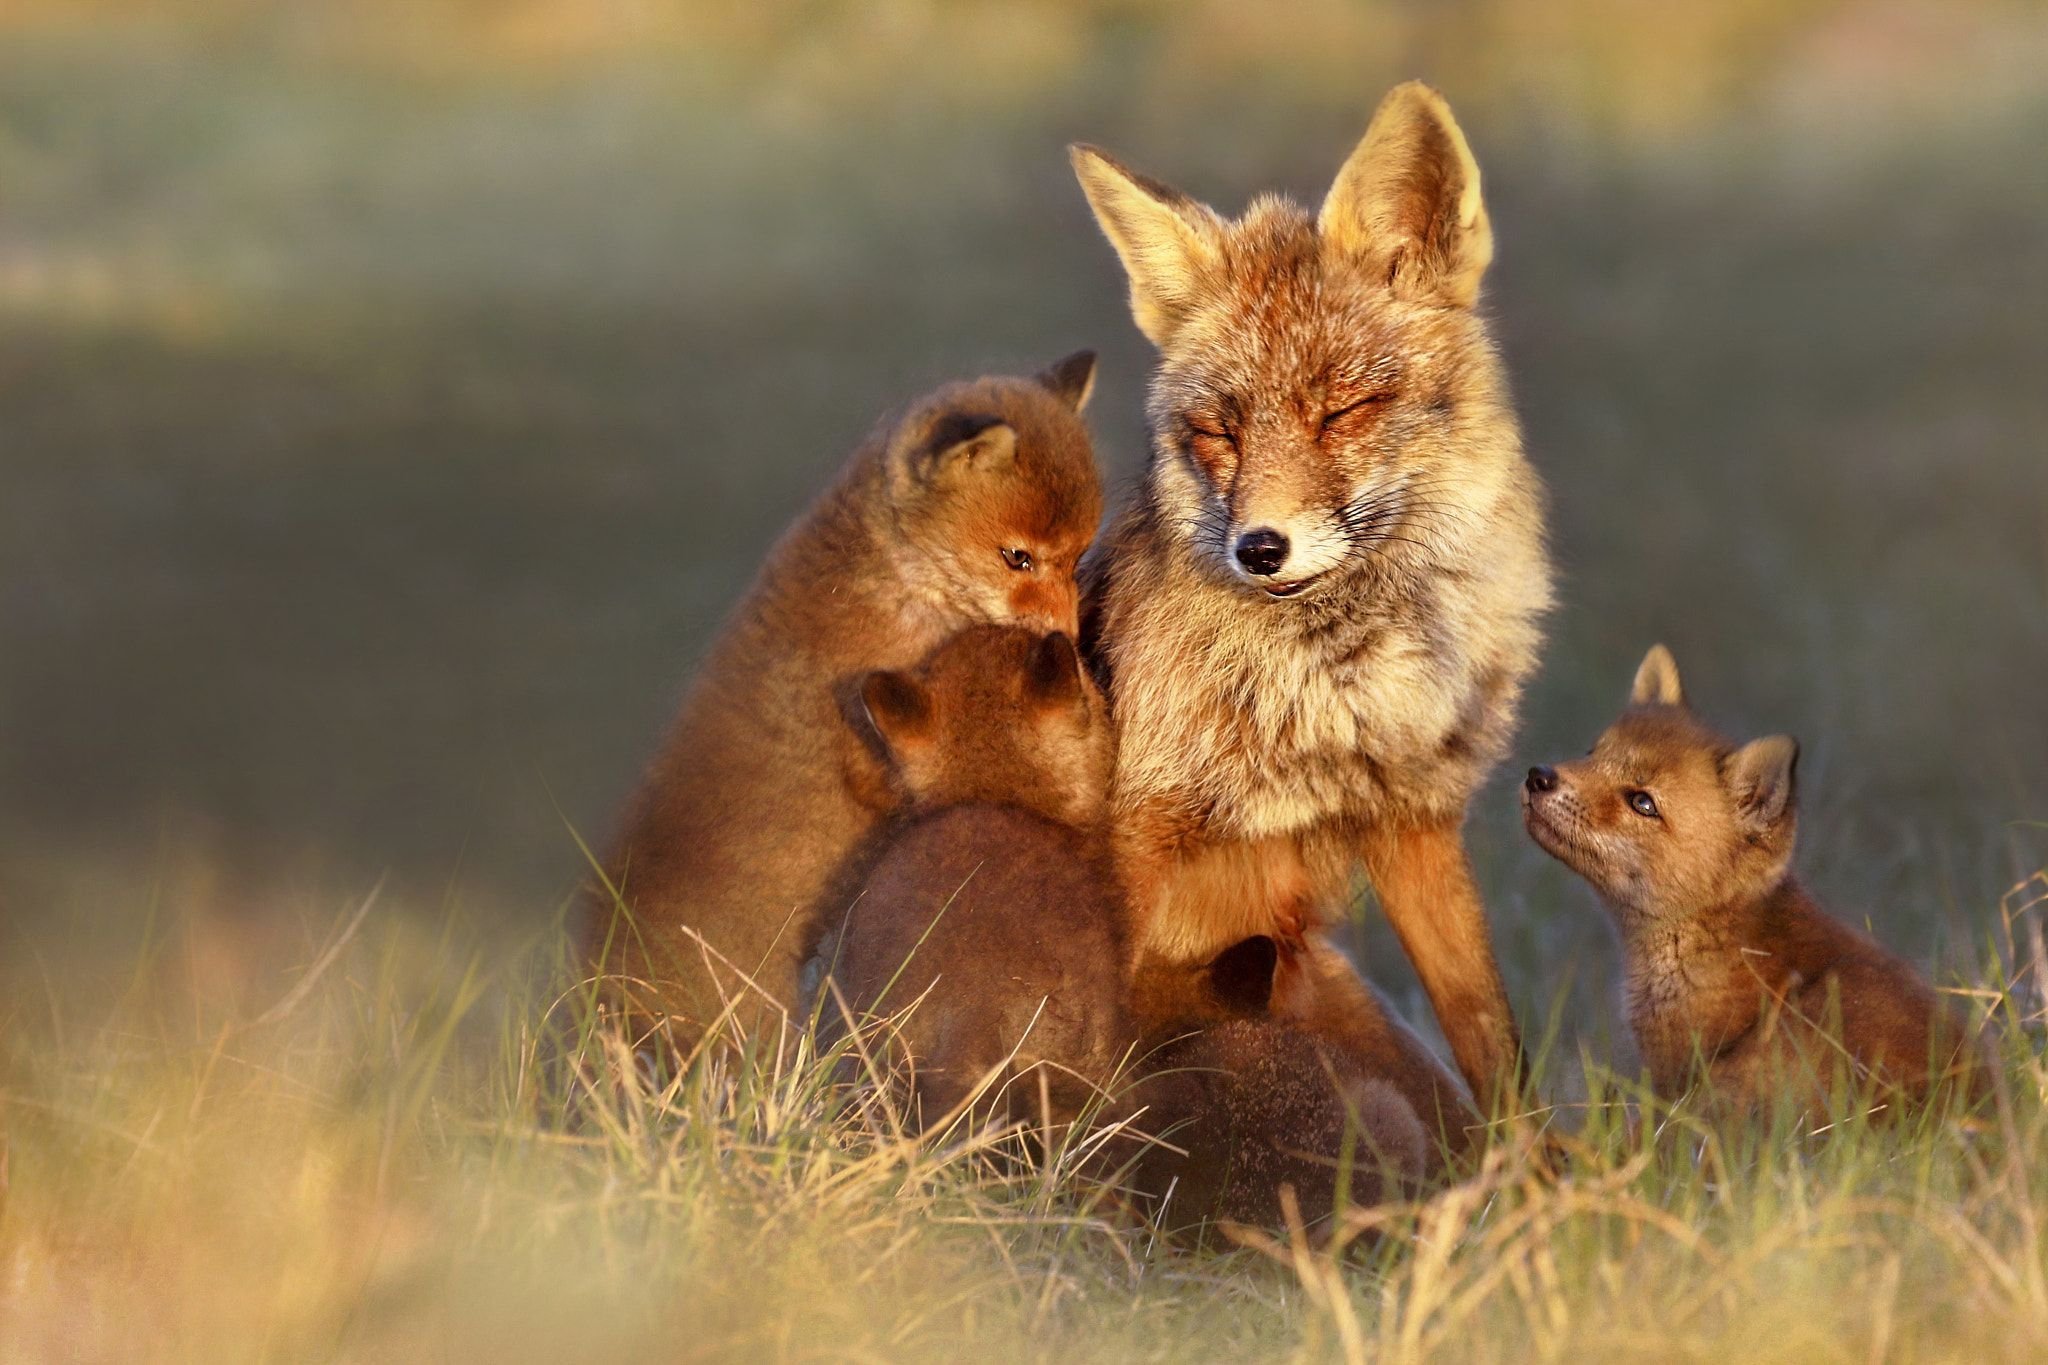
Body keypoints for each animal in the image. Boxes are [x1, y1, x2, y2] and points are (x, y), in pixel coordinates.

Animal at [1073, 82, 1548, 1113]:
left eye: (1342, 411)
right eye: (1219, 431)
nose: (1259, 549)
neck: (1327, 694)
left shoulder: (1413, 819)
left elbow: (1492, 1038)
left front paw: (1532, 1160)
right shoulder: (1138, 834)